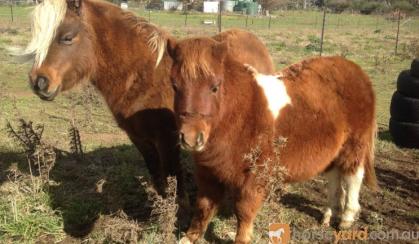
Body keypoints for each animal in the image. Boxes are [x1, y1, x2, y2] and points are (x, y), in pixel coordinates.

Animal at [23, 0, 276, 204]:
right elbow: (156, 172)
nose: (39, 82)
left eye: (67, 37)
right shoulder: (139, 138)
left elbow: (173, 174)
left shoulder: (169, 139)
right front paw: (160, 203)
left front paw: (178, 210)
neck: (145, 75)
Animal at [169, 37, 378, 243]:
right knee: (334, 177)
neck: (242, 112)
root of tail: (358, 72)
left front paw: (242, 239)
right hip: (334, 153)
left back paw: (346, 219)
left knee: (353, 176)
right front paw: (189, 237)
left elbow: (244, 209)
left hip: (354, 146)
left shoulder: (257, 175)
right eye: (174, 86)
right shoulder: (208, 172)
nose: (191, 138)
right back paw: (328, 215)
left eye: (215, 87)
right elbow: (203, 206)